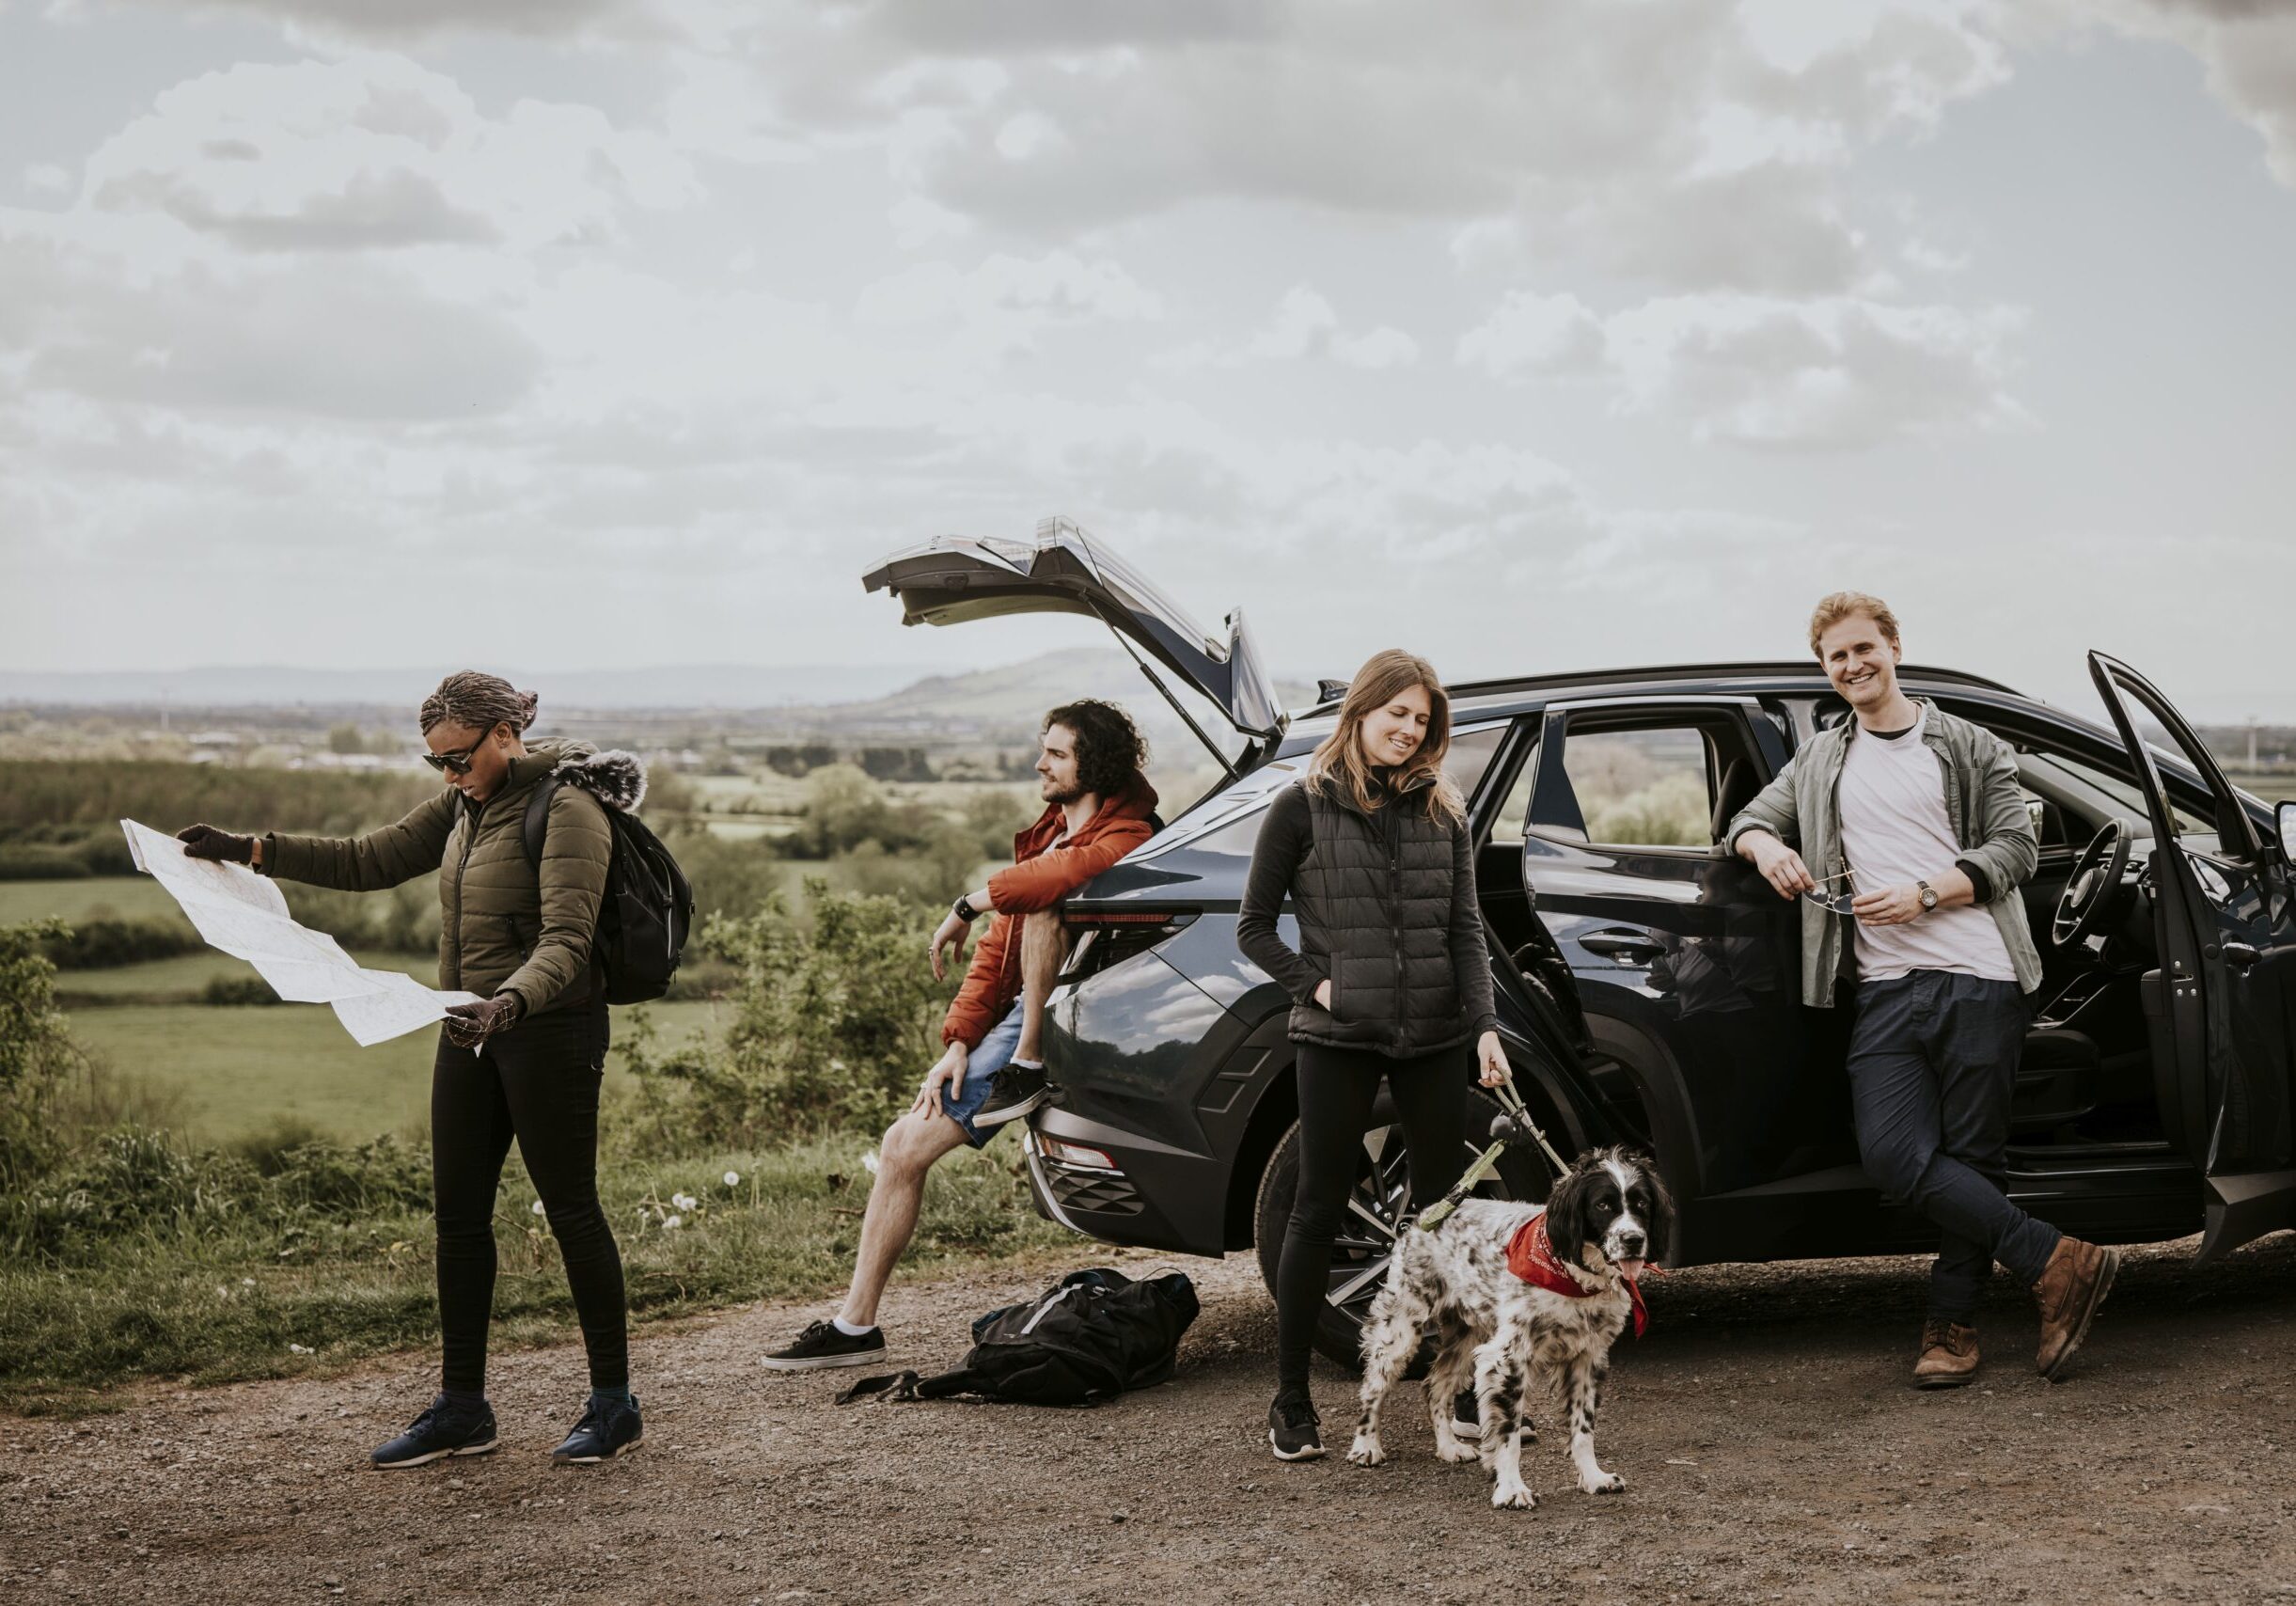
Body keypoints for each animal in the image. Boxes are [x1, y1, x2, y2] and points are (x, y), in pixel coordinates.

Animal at [1341, 1148, 1671, 1516]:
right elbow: (1508, 1435)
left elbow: (1583, 1428)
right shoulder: (1507, 1358)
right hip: (1401, 1328)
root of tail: (1428, 1214)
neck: (1570, 1273)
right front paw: (1512, 1489)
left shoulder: (1587, 1358)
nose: (1634, 1240)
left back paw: (1449, 1447)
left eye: (1641, 1204)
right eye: (1602, 1205)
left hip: (1466, 1336)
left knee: (1434, 1386)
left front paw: (1594, 1477)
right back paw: (1366, 1445)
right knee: (1374, 1387)